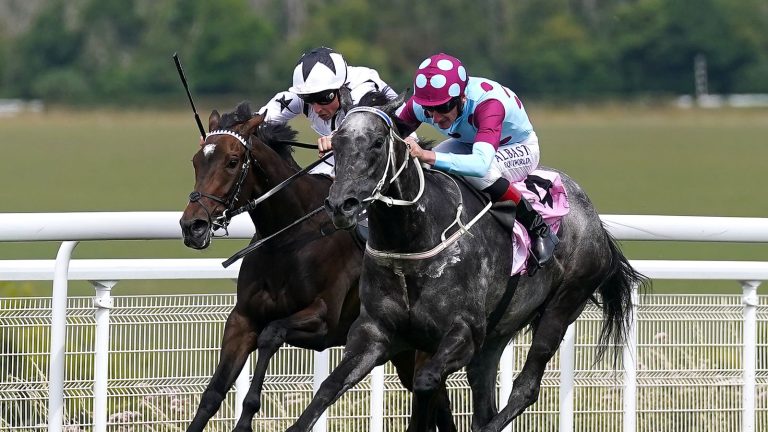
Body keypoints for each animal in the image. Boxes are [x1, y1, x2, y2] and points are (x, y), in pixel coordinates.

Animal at [180, 102, 456, 432]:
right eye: (196, 161)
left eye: (232, 162)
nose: (192, 226)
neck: (287, 239)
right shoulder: (242, 319)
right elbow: (213, 392)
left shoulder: (324, 320)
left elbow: (271, 334)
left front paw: (245, 418)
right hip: (402, 350)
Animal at [286, 98, 648, 432]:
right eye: (336, 142)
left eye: (377, 142)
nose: (340, 205)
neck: (412, 244)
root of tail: (595, 221)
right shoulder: (374, 332)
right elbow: (329, 387)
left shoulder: (463, 332)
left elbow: (426, 383)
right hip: (498, 330)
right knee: (485, 394)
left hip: (563, 305)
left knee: (526, 388)